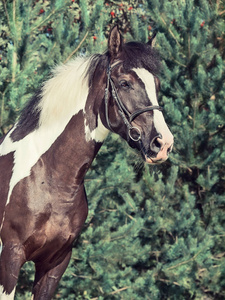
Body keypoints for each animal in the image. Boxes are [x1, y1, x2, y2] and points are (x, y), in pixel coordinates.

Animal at [0, 27, 174, 298]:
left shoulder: (55, 264)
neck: (48, 180)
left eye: (156, 85)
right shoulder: (10, 256)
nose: (163, 143)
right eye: (124, 83)